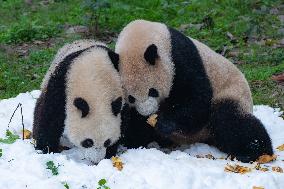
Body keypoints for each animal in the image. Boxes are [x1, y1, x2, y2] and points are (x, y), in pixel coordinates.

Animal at [115, 19, 272, 162]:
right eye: (131, 98)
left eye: (152, 91)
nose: (147, 112)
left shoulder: (180, 58)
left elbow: (196, 99)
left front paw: (164, 123)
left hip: (232, 92)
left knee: (231, 120)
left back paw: (255, 152)